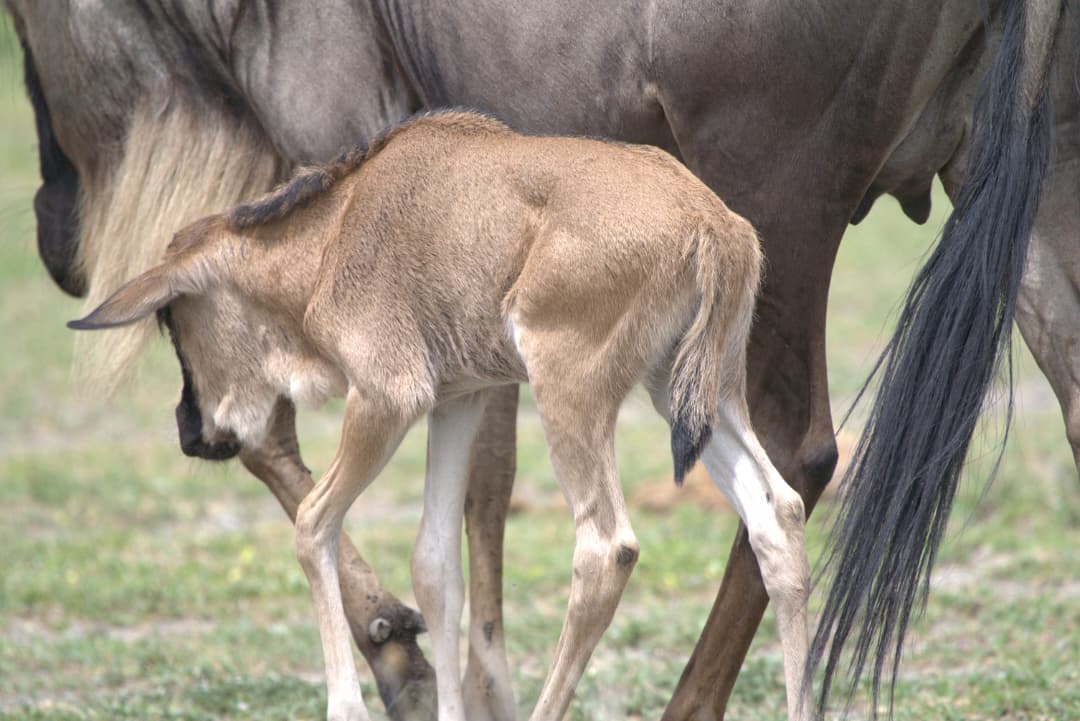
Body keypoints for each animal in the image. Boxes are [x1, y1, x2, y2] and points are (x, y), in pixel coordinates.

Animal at [70, 111, 810, 721]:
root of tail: (715, 225)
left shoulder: (388, 397)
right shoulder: (459, 399)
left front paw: (345, 706)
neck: (334, 235)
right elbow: (433, 562)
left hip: (569, 391)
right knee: (778, 511)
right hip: (691, 393)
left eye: (170, 318)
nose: (191, 432)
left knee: (605, 547)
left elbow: (312, 523)